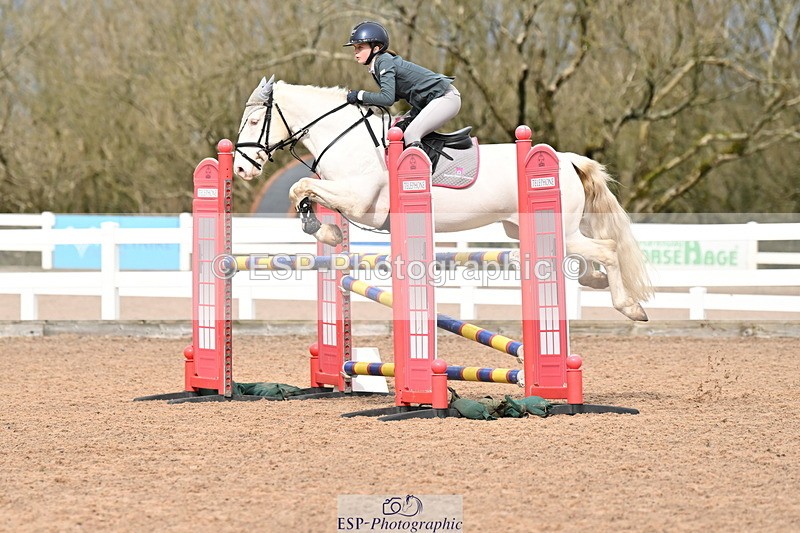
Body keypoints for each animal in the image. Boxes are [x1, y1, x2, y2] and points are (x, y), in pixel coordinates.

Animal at [233, 76, 652, 321]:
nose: (240, 169)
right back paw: (597, 282)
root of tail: (566, 159)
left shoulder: (362, 203)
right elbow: (303, 190)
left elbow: (301, 186)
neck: (344, 137)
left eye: (254, 122)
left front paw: (326, 232)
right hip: (525, 229)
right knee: (585, 260)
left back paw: (630, 307)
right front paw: (323, 229)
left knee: (607, 250)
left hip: (559, 228)